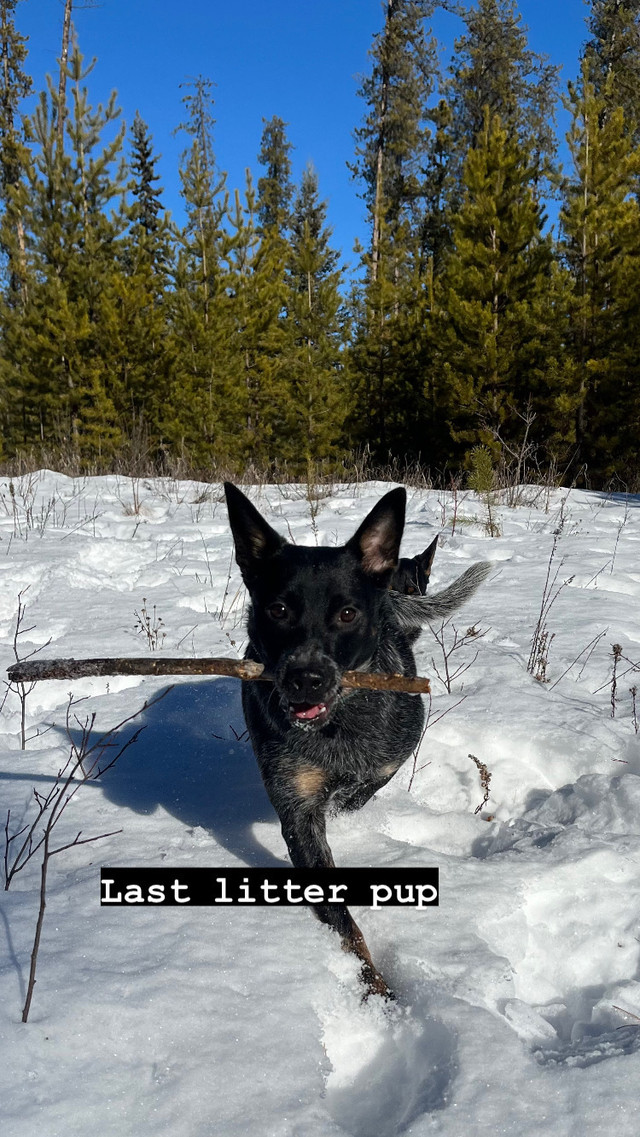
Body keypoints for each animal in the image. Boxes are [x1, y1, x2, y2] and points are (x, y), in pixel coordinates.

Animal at [225, 479, 491, 996]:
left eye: (347, 613)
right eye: (278, 609)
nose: (305, 678)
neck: (339, 725)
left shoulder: (393, 752)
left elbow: (365, 786)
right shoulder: (297, 809)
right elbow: (340, 918)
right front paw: (372, 986)